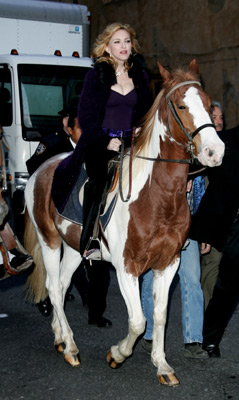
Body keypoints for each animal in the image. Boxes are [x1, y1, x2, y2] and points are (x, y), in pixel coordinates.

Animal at [25, 60, 225, 388]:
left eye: (209, 105)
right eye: (182, 105)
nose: (215, 152)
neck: (156, 196)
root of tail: (42, 168)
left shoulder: (168, 263)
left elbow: (159, 315)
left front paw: (162, 365)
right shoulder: (126, 267)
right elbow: (138, 320)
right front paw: (118, 354)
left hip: (75, 248)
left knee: (63, 284)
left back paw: (60, 337)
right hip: (49, 240)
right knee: (54, 287)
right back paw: (71, 347)